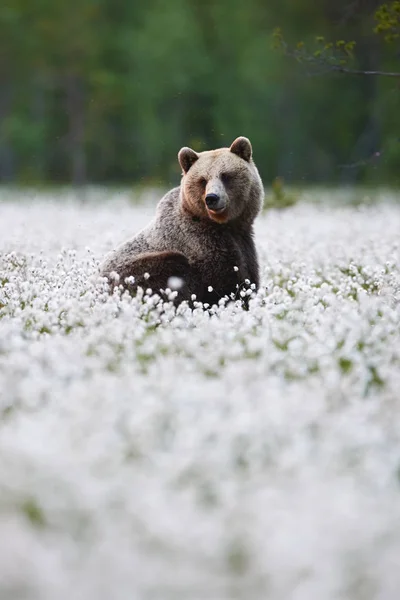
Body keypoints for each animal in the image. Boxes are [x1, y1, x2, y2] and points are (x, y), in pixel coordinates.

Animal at [99, 138, 262, 308]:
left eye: (225, 175)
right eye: (203, 180)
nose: (212, 198)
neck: (225, 225)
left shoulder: (243, 241)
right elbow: (224, 283)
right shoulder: (201, 243)